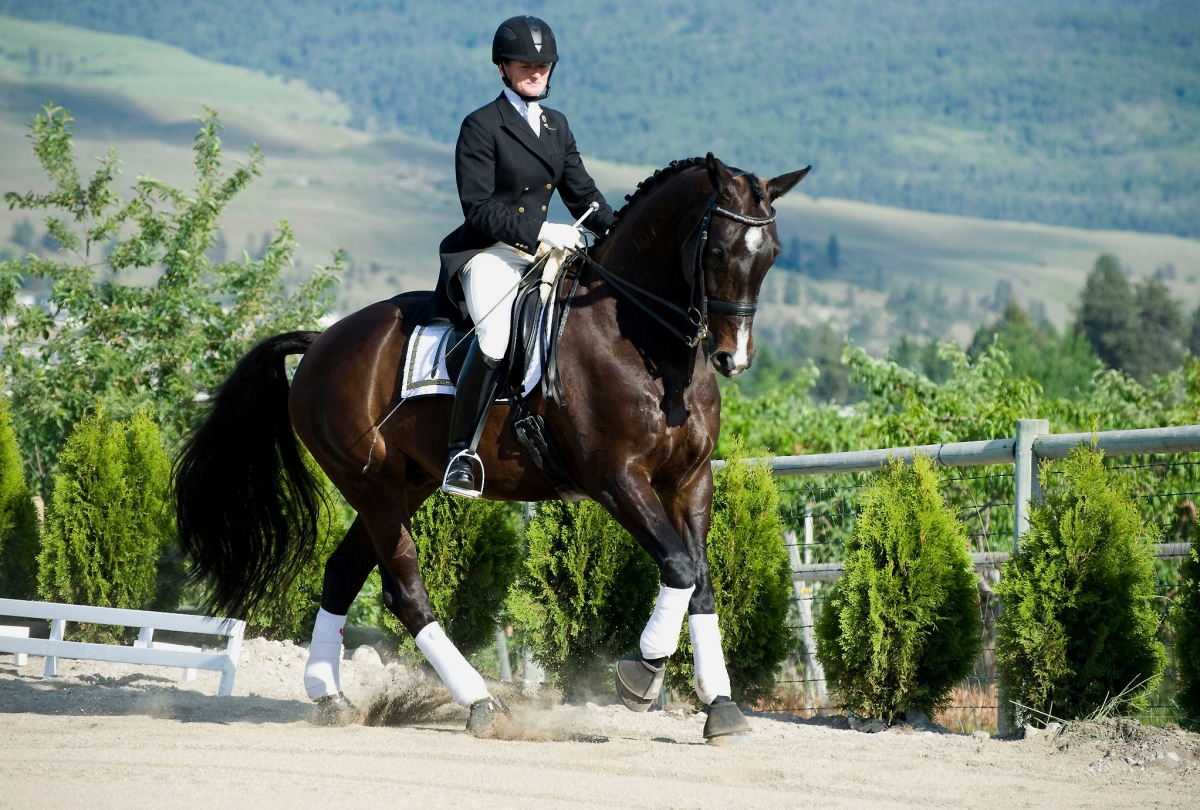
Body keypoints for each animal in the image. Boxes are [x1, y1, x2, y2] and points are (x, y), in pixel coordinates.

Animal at [174, 153, 810, 741]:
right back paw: (481, 703)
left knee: (343, 571)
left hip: (405, 482)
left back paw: (329, 696)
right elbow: (677, 566)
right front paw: (640, 675)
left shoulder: (690, 478)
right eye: (718, 252)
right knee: (404, 589)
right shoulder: (615, 477)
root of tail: (324, 339)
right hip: (370, 484)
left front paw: (720, 707)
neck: (646, 345)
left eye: (773, 254)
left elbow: (700, 580)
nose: (733, 358)